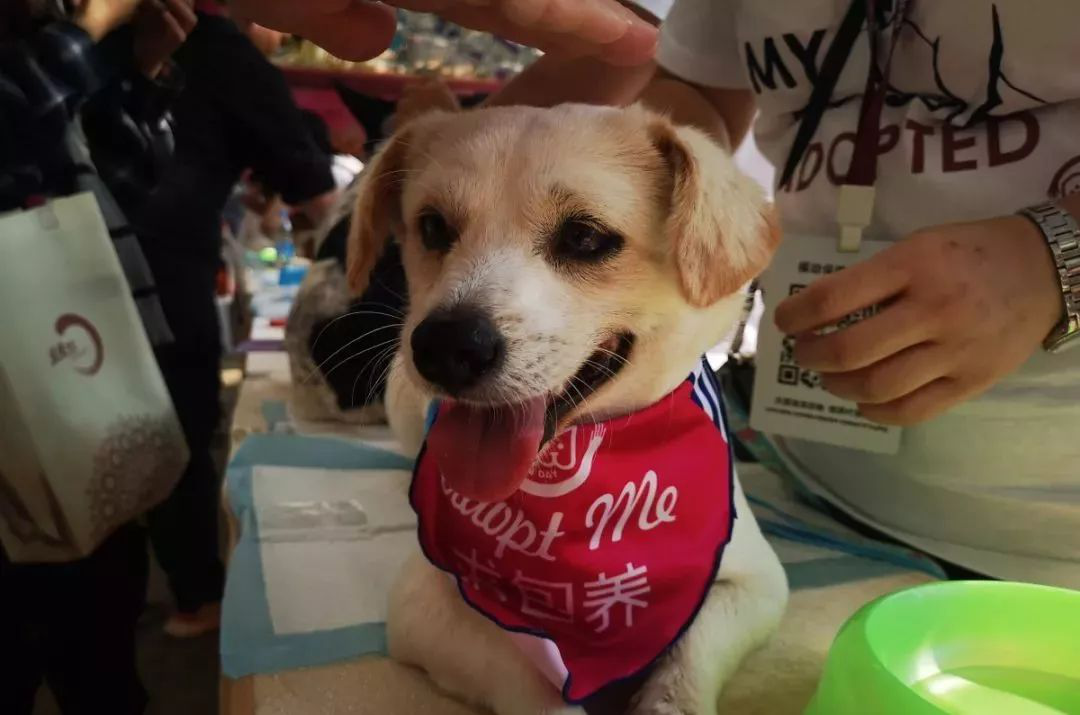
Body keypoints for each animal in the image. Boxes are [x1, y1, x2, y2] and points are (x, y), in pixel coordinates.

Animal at [346, 103, 788, 715]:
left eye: (584, 236)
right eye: (433, 227)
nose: (445, 347)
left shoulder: (757, 583)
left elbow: (690, 658)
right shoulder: (421, 606)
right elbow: (532, 684)